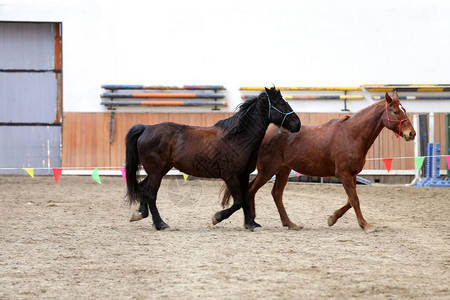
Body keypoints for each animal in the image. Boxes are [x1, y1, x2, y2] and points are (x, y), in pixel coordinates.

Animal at [125, 85, 300, 231]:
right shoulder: (230, 176)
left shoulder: (243, 175)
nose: (297, 124)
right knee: (151, 195)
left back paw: (140, 214)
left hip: (159, 170)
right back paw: (160, 224)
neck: (237, 138)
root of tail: (146, 128)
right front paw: (217, 217)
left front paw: (251, 223)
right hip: (156, 172)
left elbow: (245, 199)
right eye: (280, 103)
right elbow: (238, 202)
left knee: (142, 187)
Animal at [223, 91, 416, 232]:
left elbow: (351, 199)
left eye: (405, 109)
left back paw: (289, 224)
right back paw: (251, 221)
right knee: (252, 189)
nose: (411, 133)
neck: (351, 135)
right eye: (395, 111)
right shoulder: (344, 174)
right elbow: (354, 200)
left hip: (283, 170)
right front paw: (365, 225)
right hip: (267, 170)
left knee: (276, 194)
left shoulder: (352, 175)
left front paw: (332, 218)